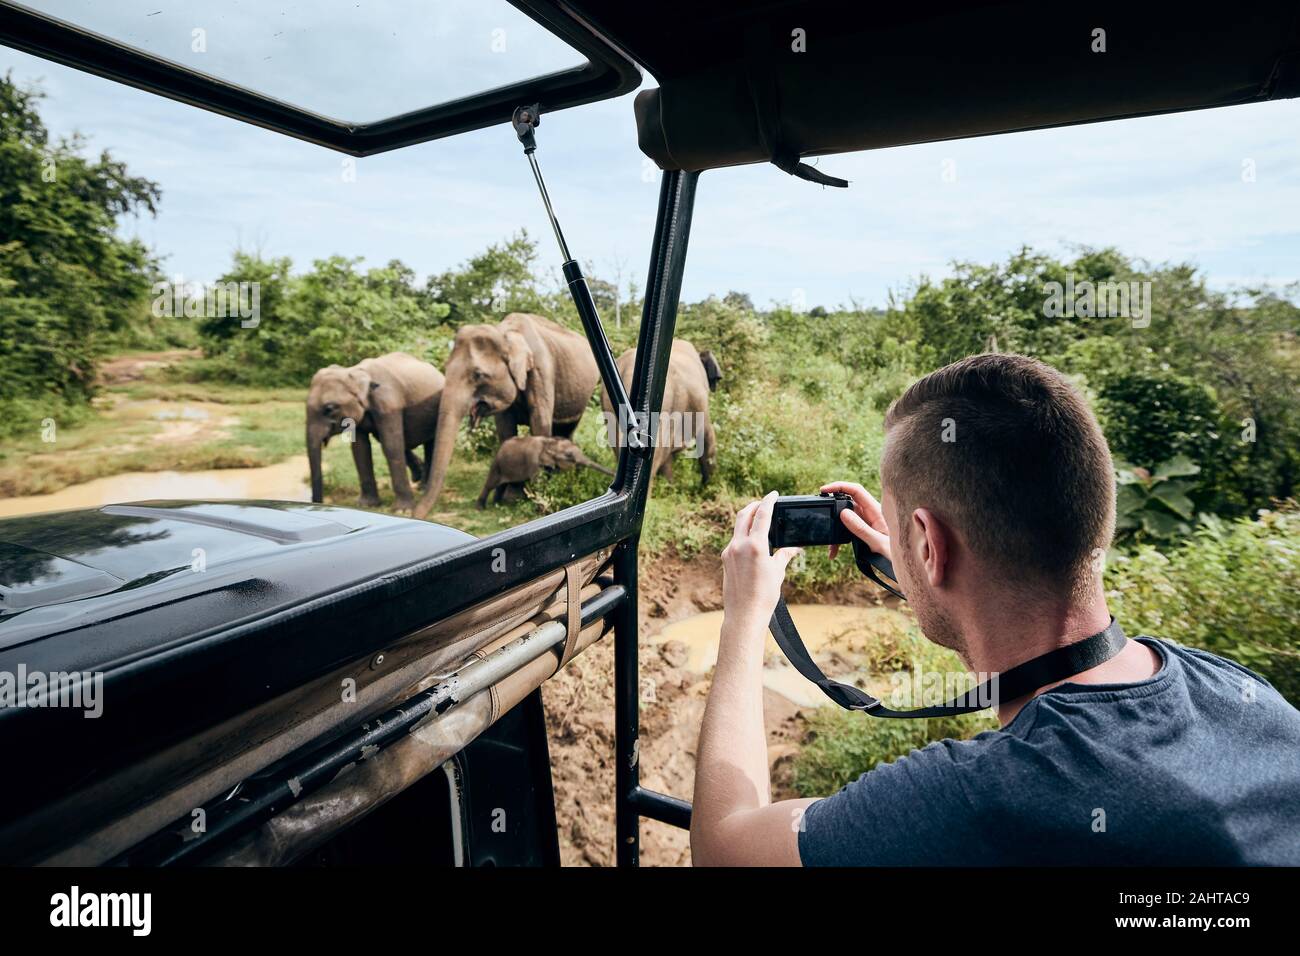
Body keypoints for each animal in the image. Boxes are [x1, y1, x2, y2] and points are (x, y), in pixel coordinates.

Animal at [305, 351, 444, 512]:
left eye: (329, 408)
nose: (317, 503)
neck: (353, 372)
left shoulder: (388, 404)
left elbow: (391, 446)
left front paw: (402, 510)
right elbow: (360, 449)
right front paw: (366, 505)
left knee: (430, 443)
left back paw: (423, 487)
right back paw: (420, 481)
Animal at [478, 434, 613, 509]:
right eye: (569, 455)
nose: (613, 474)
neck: (549, 442)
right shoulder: (533, 461)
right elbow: (537, 483)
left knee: (502, 486)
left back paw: (497, 504)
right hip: (497, 464)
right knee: (490, 484)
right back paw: (481, 507)